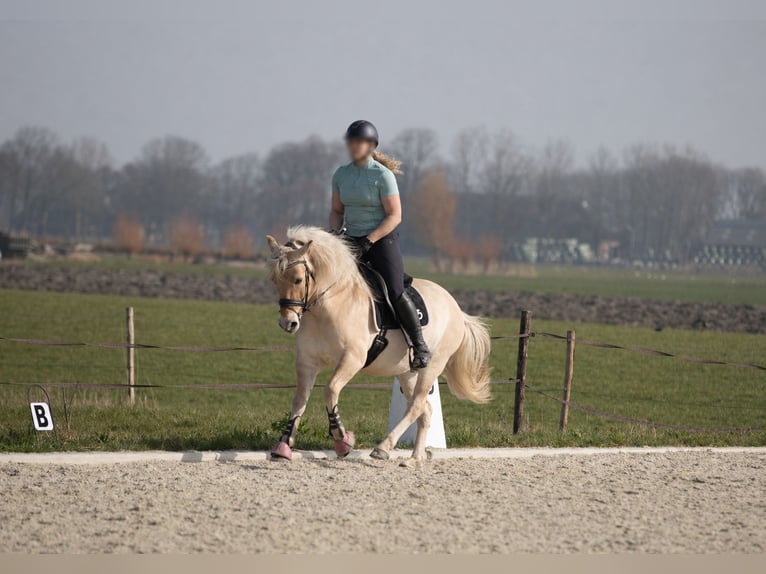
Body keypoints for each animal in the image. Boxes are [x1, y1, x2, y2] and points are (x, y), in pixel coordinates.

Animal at [266, 226, 491, 467]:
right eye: (274, 280)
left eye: (298, 280)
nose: (288, 323)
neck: (329, 306)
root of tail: (456, 308)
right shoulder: (307, 361)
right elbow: (300, 399)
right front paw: (283, 446)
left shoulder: (352, 358)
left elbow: (330, 390)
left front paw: (342, 440)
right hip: (406, 372)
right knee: (425, 410)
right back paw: (414, 458)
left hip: (432, 366)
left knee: (416, 405)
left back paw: (383, 448)